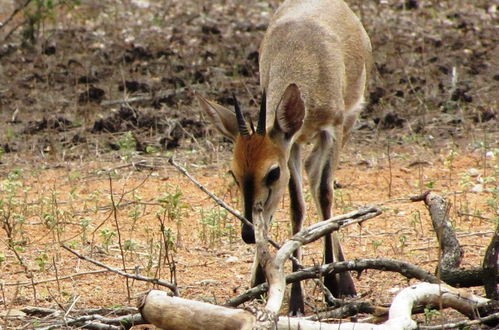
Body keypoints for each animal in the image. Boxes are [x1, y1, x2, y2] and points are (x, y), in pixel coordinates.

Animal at [197, 0, 374, 316]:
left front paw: (335, 281)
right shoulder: (290, 145)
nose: (246, 234)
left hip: (348, 124)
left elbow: (325, 194)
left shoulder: (332, 130)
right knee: (303, 181)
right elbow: (295, 207)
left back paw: (341, 278)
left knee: (318, 182)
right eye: (234, 174)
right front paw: (289, 296)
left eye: (272, 172)